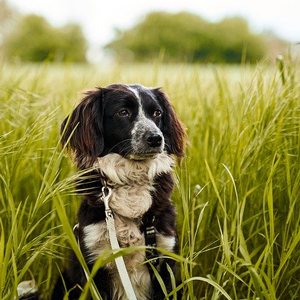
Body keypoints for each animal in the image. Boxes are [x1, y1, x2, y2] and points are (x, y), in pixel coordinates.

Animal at [18, 84, 185, 300]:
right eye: (123, 112)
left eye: (157, 113)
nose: (156, 138)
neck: (131, 182)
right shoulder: (94, 262)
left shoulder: (165, 260)